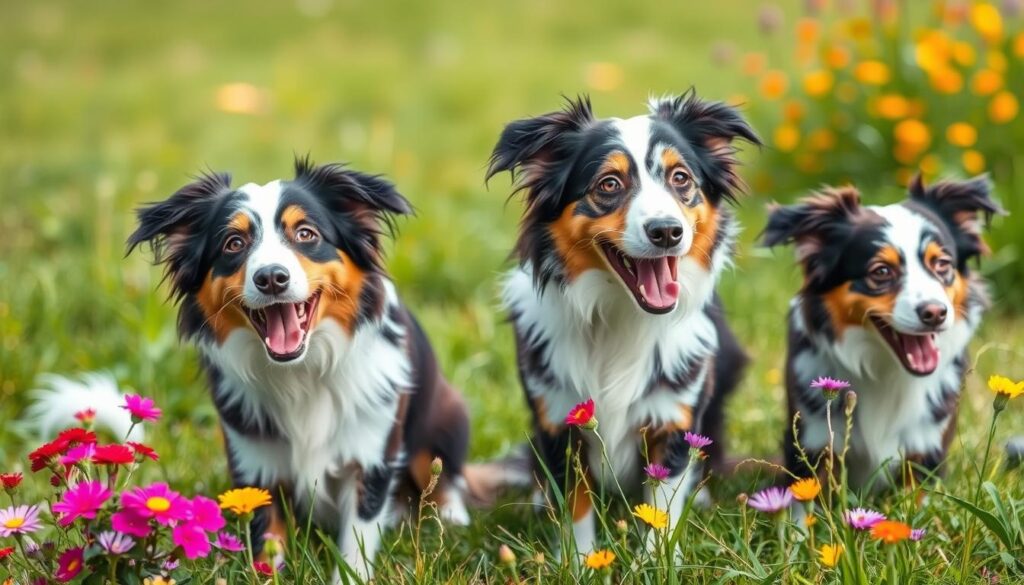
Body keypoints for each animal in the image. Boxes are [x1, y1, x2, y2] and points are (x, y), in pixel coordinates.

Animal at [124, 156, 471, 581]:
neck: (303, 371)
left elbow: (356, 543)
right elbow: (266, 541)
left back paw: (453, 515)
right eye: (234, 243)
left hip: (445, 414)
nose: (272, 277)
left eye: (306, 233)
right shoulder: (257, 464)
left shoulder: (371, 456)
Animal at [485, 92, 761, 553]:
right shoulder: (560, 419)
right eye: (609, 184)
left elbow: (661, 506)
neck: (620, 314)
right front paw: (579, 560)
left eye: (681, 178)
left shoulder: (672, 417)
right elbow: (575, 507)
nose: (666, 231)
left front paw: (657, 559)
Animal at [765, 176, 1003, 491]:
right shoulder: (815, 441)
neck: (886, 370)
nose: (935, 313)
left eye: (942, 264)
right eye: (880, 272)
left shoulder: (926, 450)